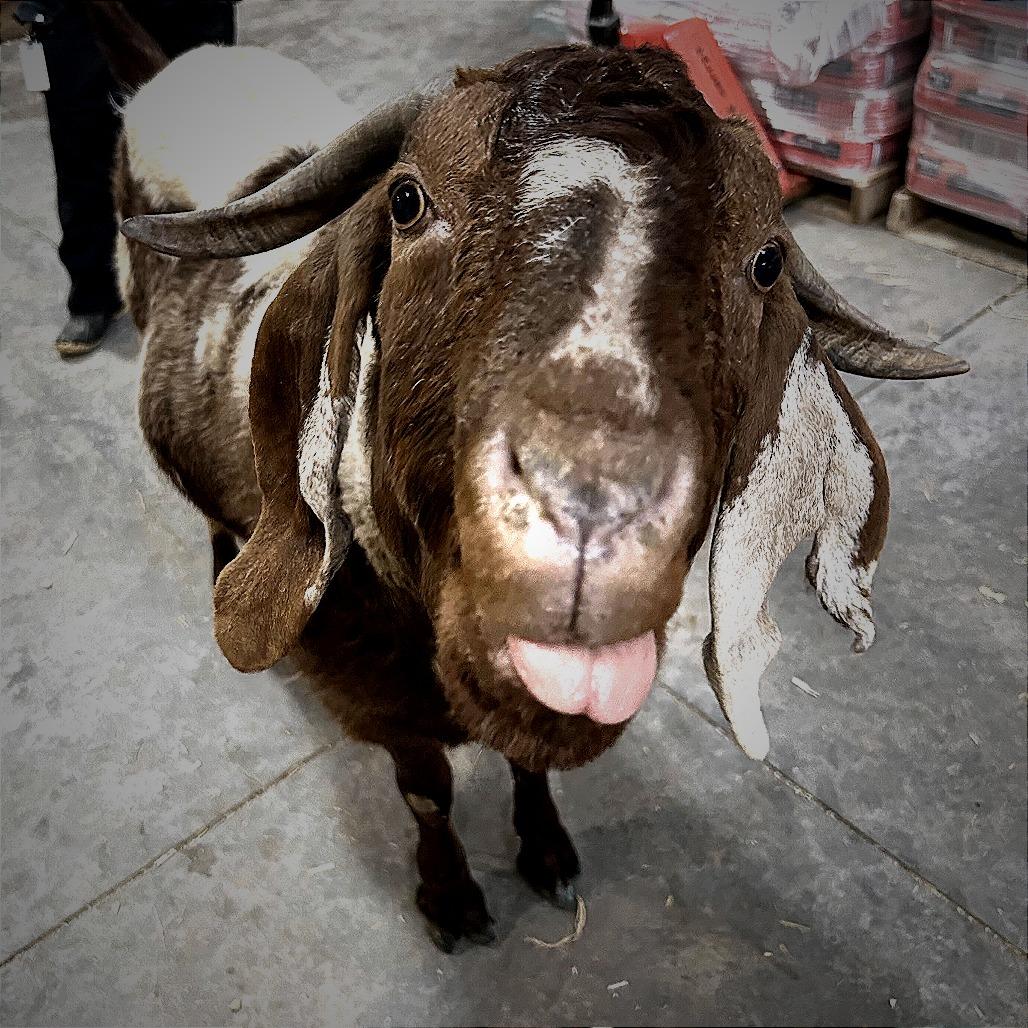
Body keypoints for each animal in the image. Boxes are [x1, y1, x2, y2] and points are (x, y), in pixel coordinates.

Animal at [107, 15, 967, 950]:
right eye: (407, 201)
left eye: (766, 260)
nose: (593, 503)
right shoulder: (382, 705)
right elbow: (427, 792)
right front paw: (451, 897)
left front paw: (547, 850)